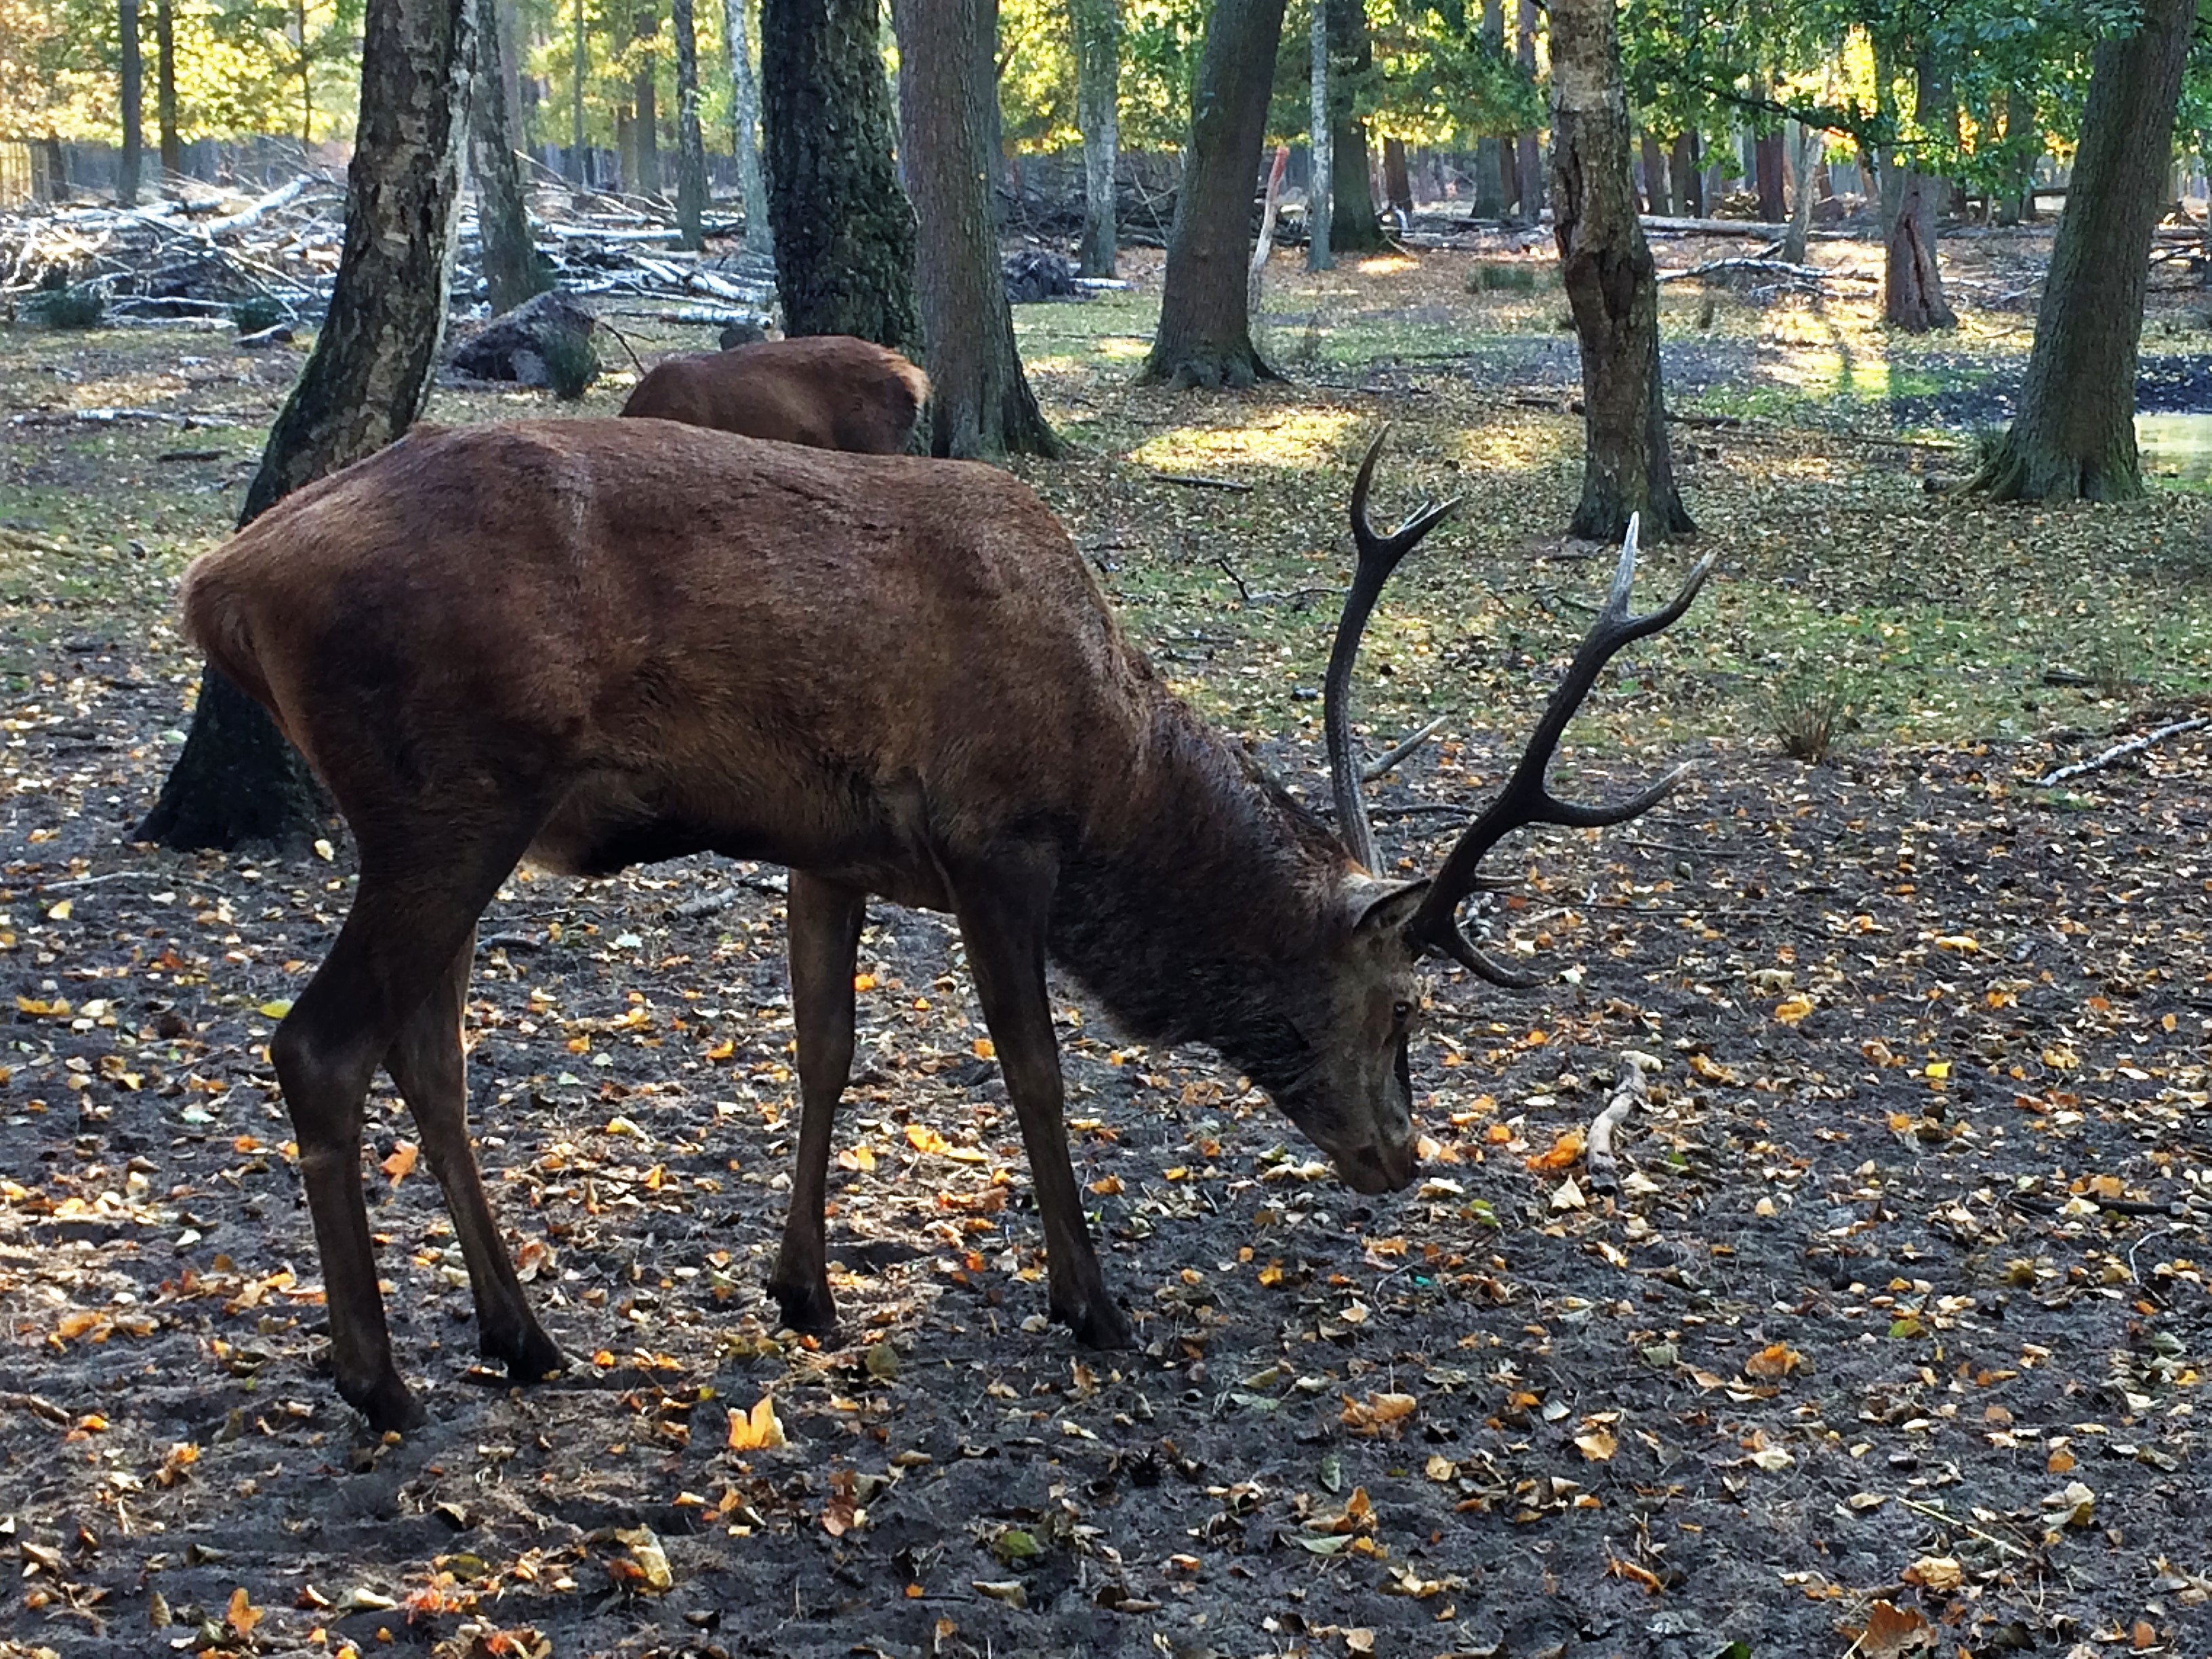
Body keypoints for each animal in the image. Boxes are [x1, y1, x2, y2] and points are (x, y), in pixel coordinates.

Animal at [186, 417, 1707, 1433]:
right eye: (1405, 1007)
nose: (1403, 1156)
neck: (1113, 775)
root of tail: (222, 586)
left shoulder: (829, 850)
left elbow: (826, 1051)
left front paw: (802, 1290)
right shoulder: (997, 841)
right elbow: (1034, 1071)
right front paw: (1091, 1302)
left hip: (455, 826)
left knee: (428, 1055)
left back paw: (522, 1334)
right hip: (447, 797)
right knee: (320, 1044)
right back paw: (379, 1380)